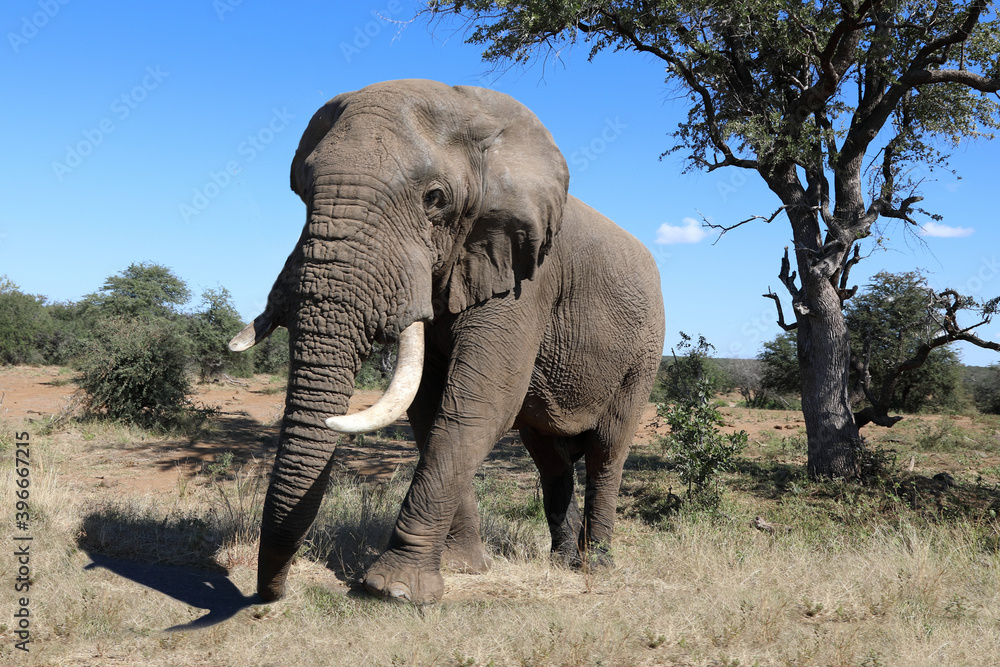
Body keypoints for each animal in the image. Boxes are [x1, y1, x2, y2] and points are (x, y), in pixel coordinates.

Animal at [230, 79, 666, 604]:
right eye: (301, 192)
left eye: (434, 199)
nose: (267, 595)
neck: (477, 115)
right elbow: (428, 405)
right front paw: (462, 568)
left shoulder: (526, 277)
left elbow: (481, 403)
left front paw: (392, 591)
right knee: (548, 457)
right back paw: (562, 562)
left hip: (644, 351)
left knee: (607, 451)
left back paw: (595, 568)